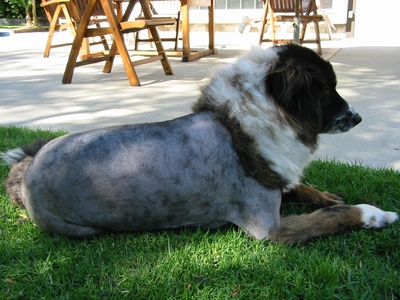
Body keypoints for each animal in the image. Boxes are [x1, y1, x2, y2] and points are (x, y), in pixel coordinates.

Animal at [0, 44, 396, 244]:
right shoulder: (270, 229)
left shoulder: (276, 178)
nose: (359, 118)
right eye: (327, 90)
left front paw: (324, 195)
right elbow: (332, 217)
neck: (237, 123)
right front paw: (375, 214)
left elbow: (302, 189)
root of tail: (27, 169)